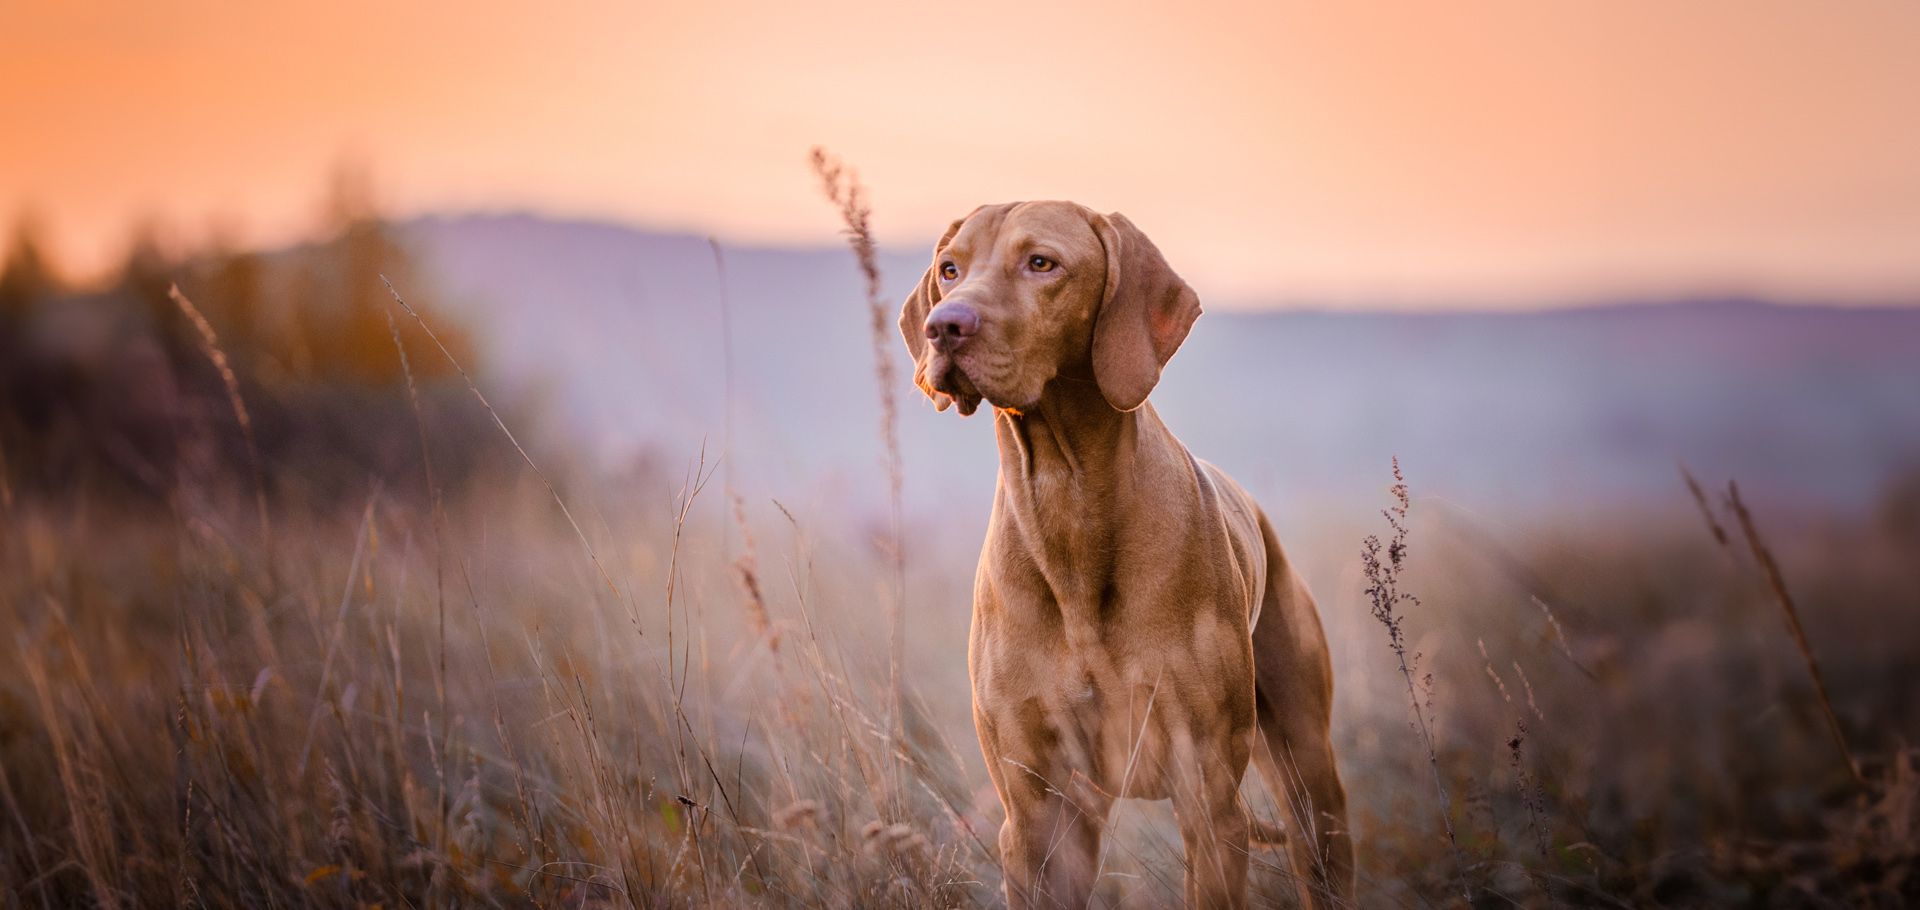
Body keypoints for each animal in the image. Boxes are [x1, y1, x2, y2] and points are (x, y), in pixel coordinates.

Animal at [898, 202, 1351, 906]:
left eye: (1042, 263)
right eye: (950, 269)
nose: (943, 325)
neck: (1068, 506)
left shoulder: (1208, 801)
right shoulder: (1036, 815)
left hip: (1311, 782)